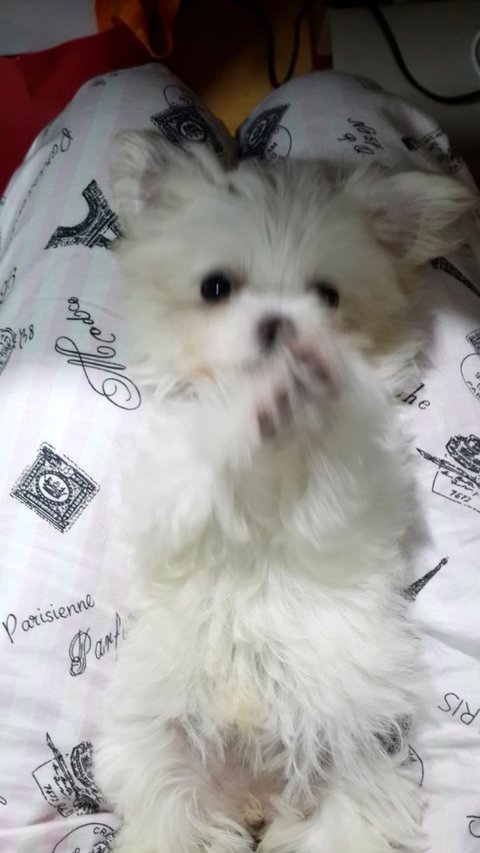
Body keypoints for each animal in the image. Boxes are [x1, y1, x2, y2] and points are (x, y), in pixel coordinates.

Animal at [95, 131, 475, 853]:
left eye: (326, 295)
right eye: (215, 288)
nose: (279, 326)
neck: (272, 458)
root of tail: (252, 800)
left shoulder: (355, 491)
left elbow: (334, 464)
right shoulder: (170, 482)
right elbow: (201, 458)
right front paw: (253, 402)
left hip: (351, 783)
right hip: (164, 769)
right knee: (171, 822)